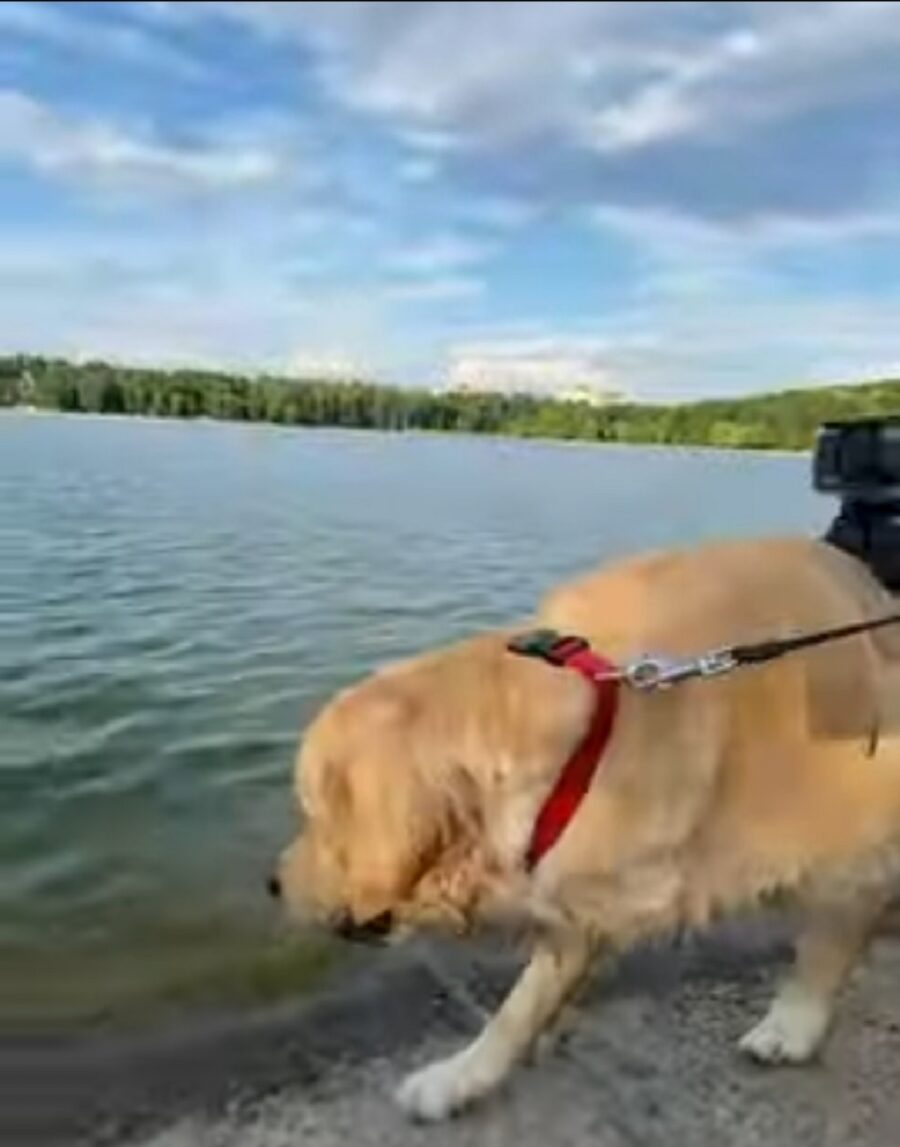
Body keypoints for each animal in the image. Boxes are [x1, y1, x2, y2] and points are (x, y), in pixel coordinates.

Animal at [270, 536, 898, 1119]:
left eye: (313, 813)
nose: (270, 885)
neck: (595, 741)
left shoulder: (853, 838)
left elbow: (826, 943)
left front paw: (792, 1027)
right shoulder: (579, 897)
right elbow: (517, 1009)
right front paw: (460, 1078)